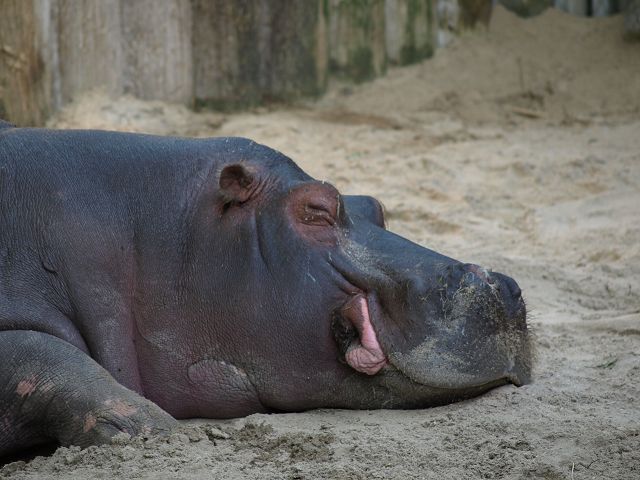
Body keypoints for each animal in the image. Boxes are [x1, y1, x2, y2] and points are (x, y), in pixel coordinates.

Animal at [0, 120, 531, 457]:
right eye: (316, 209)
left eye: (374, 204)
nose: (503, 284)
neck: (143, 224)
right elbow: (44, 357)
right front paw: (158, 434)